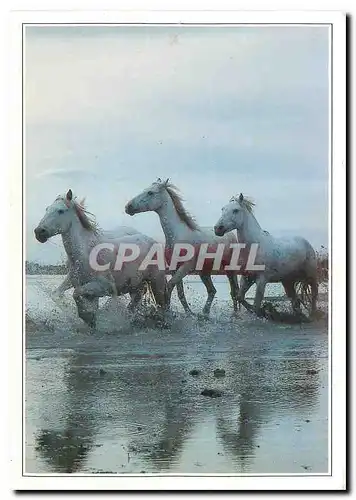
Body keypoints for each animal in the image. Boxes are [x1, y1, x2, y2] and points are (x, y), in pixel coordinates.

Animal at [34, 188, 168, 328]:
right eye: (47, 209)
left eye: (60, 210)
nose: (39, 232)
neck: (86, 254)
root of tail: (152, 240)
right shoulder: (85, 287)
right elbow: (75, 297)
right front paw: (90, 319)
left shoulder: (105, 287)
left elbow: (77, 294)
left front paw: (88, 317)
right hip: (137, 285)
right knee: (135, 302)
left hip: (157, 281)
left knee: (161, 304)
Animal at [125, 178, 239, 314]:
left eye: (150, 193)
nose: (128, 207)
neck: (177, 235)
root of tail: (230, 234)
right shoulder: (175, 269)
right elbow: (180, 293)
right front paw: (187, 313)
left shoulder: (185, 268)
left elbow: (169, 287)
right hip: (204, 272)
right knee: (212, 291)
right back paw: (204, 314)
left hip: (230, 270)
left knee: (234, 292)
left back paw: (235, 315)